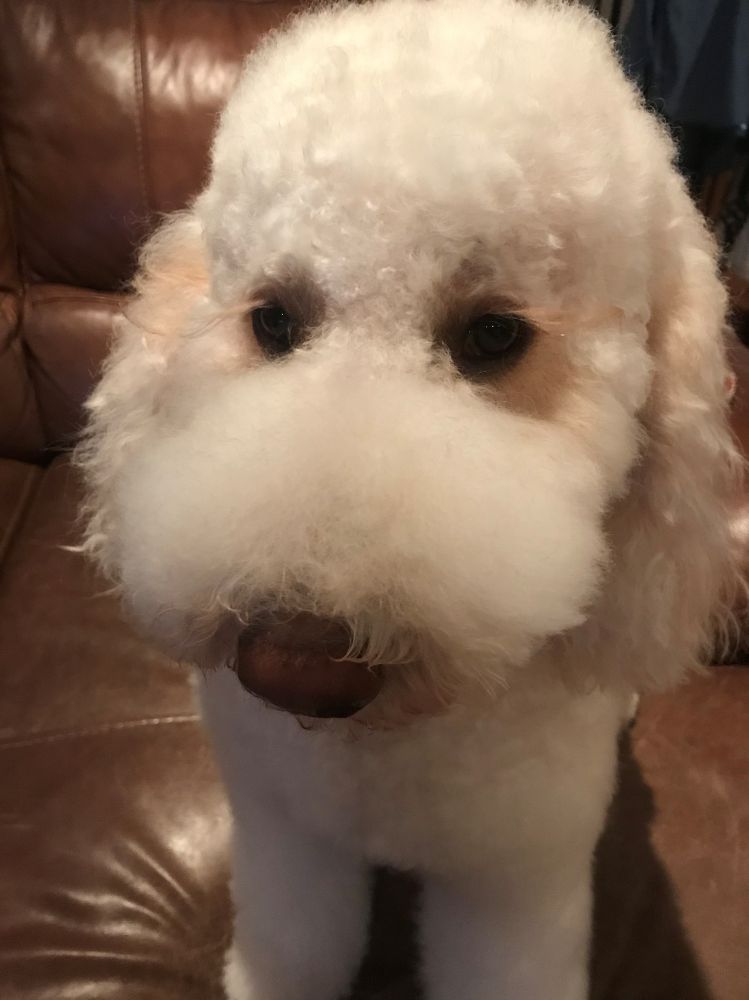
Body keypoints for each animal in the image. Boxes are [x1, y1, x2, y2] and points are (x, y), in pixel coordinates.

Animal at [78, 1, 742, 997]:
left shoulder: (512, 883)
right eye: (273, 321)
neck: (383, 752)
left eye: (494, 335)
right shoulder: (287, 837)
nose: (295, 665)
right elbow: (295, 945)